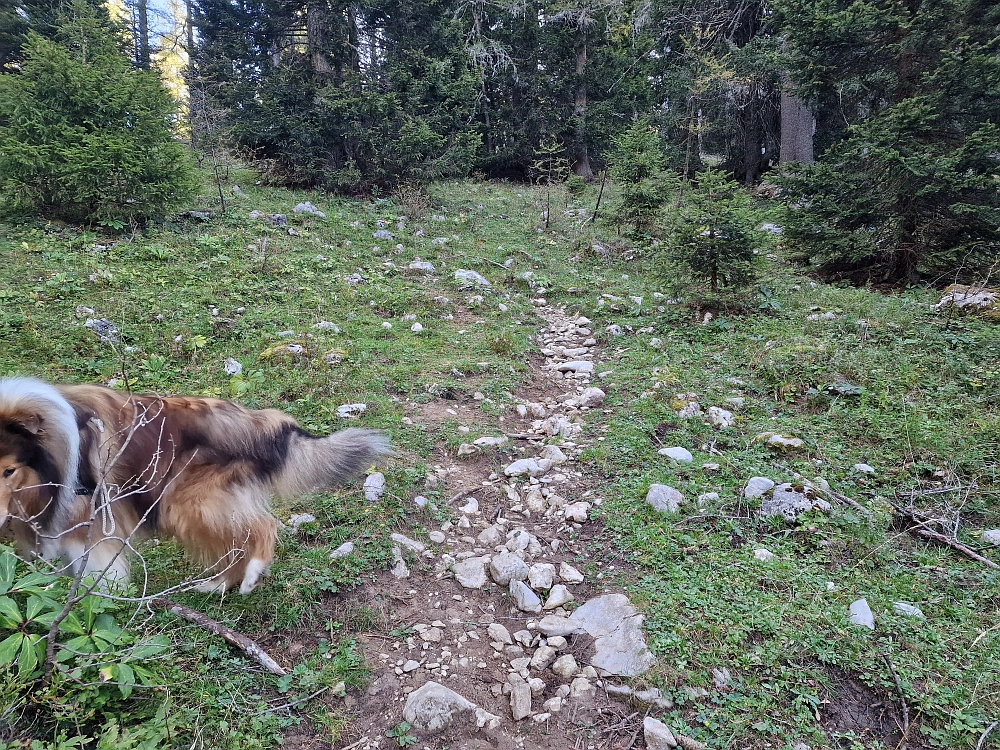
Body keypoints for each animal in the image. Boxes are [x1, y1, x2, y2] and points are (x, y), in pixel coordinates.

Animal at [0, 378, 388, 596]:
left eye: (8, 471)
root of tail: (259, 422)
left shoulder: (88, 516)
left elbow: (97, 569)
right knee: (235, 545)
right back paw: (217, 585)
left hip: (191, 502)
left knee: (263, 527)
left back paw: (250, 576)